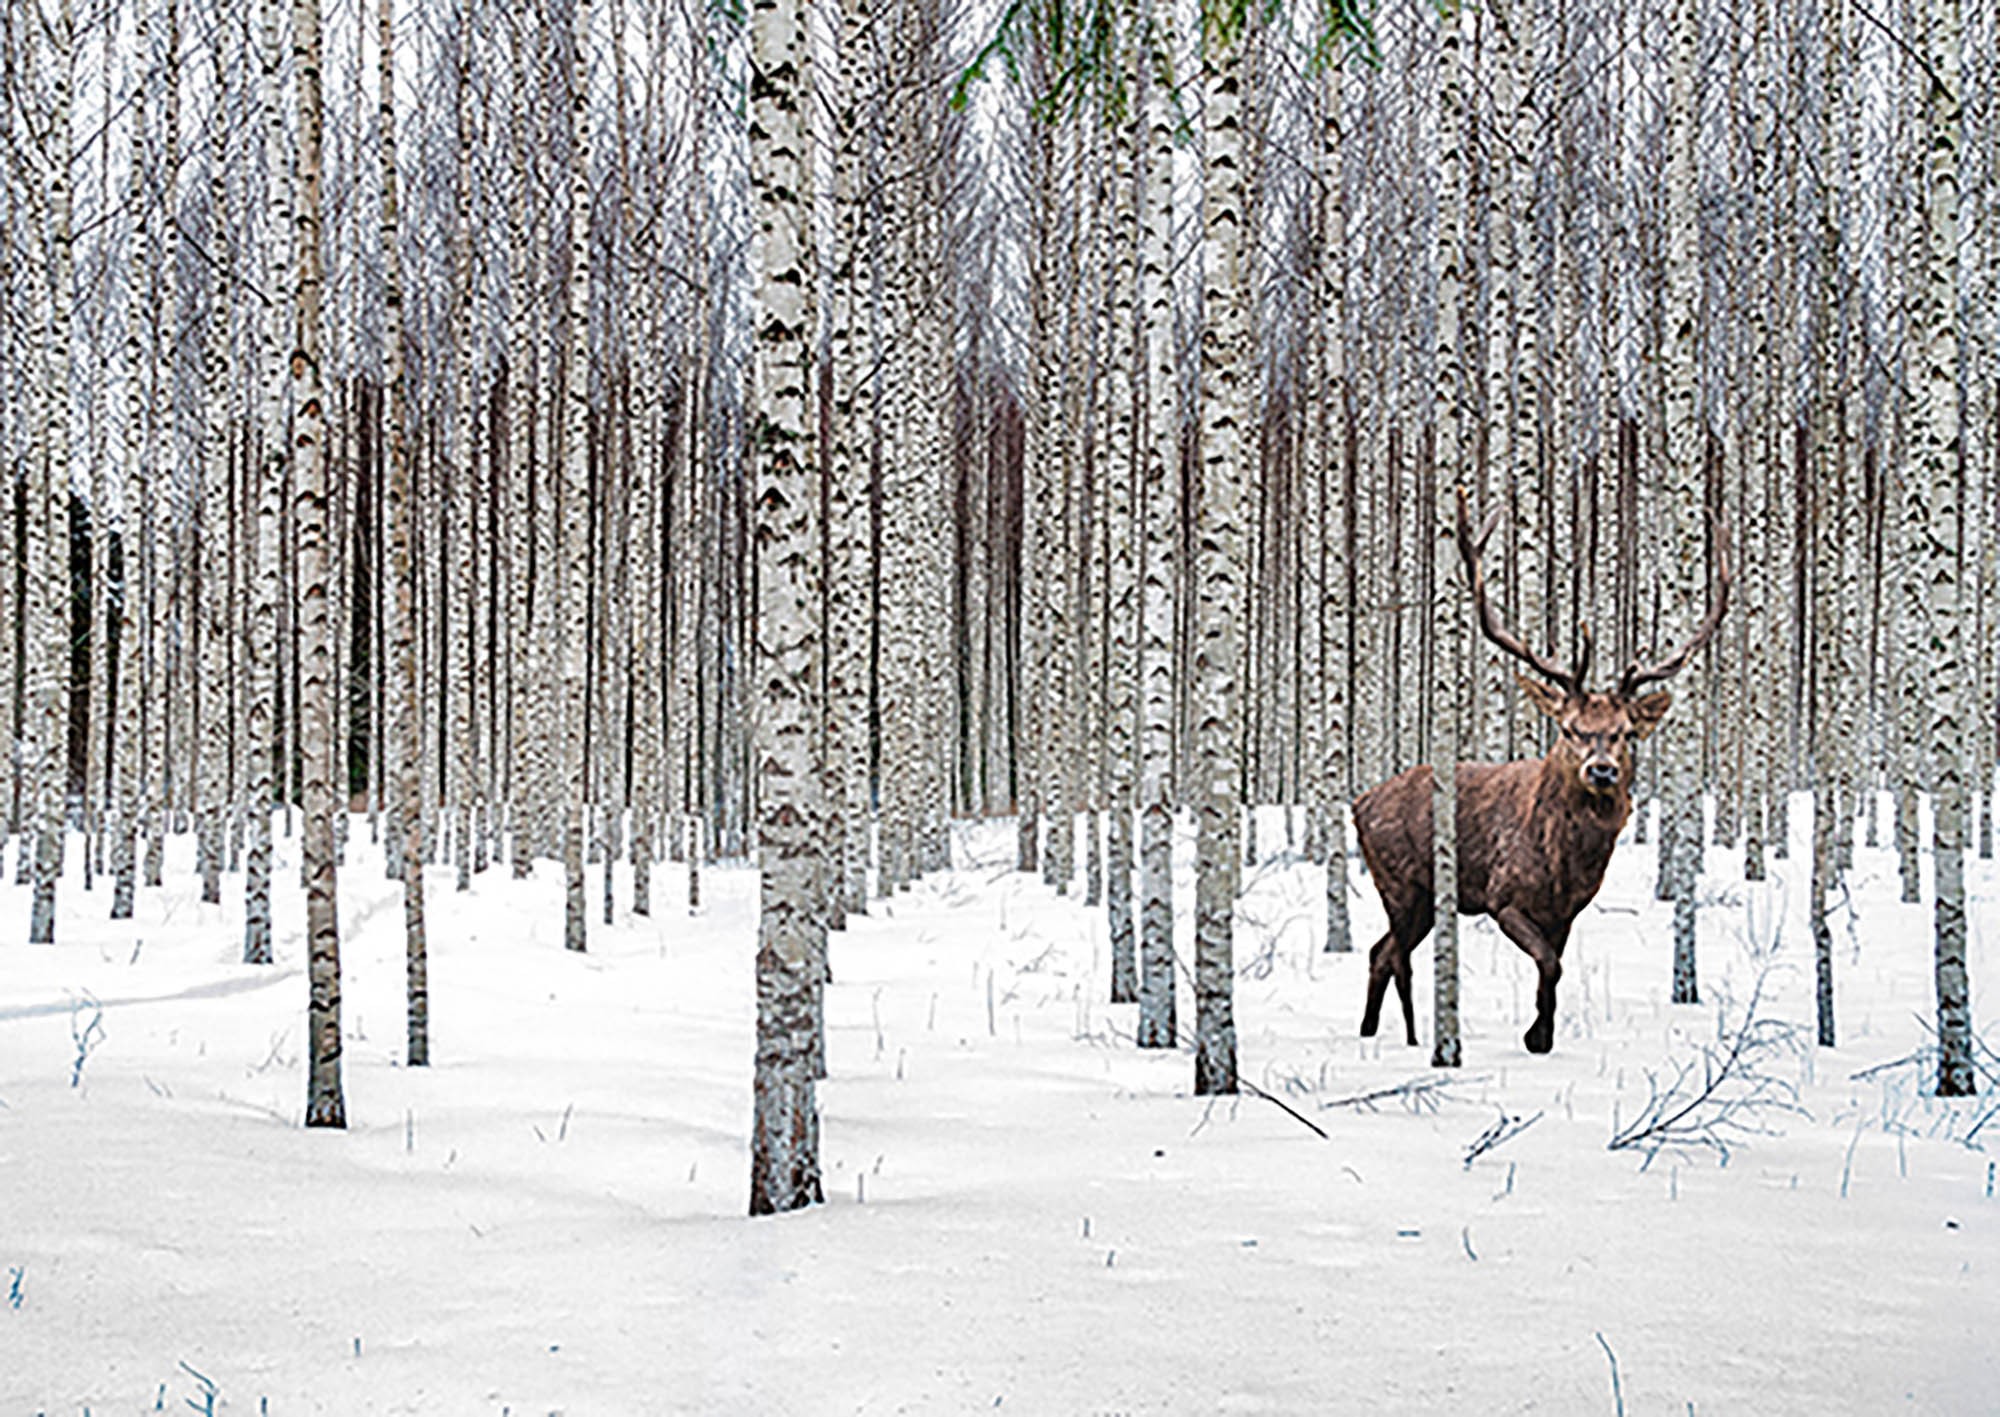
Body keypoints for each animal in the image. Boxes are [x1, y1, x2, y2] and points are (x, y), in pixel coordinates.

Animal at [1354, 488, 1731, 1056]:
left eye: (1625, 731)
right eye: (1570, 728)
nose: (1602, 771)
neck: (1564, 860)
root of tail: (1359, 803)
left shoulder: (1568, 911)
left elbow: (1553, 967)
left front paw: (1543, 1033)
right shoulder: (1502, 896)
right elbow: (1549, 964)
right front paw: (1536, 1035)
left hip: (1422, 898)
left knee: (1381, 952)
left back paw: (1380, 1033)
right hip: (1400, 882)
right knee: (1391, 952)